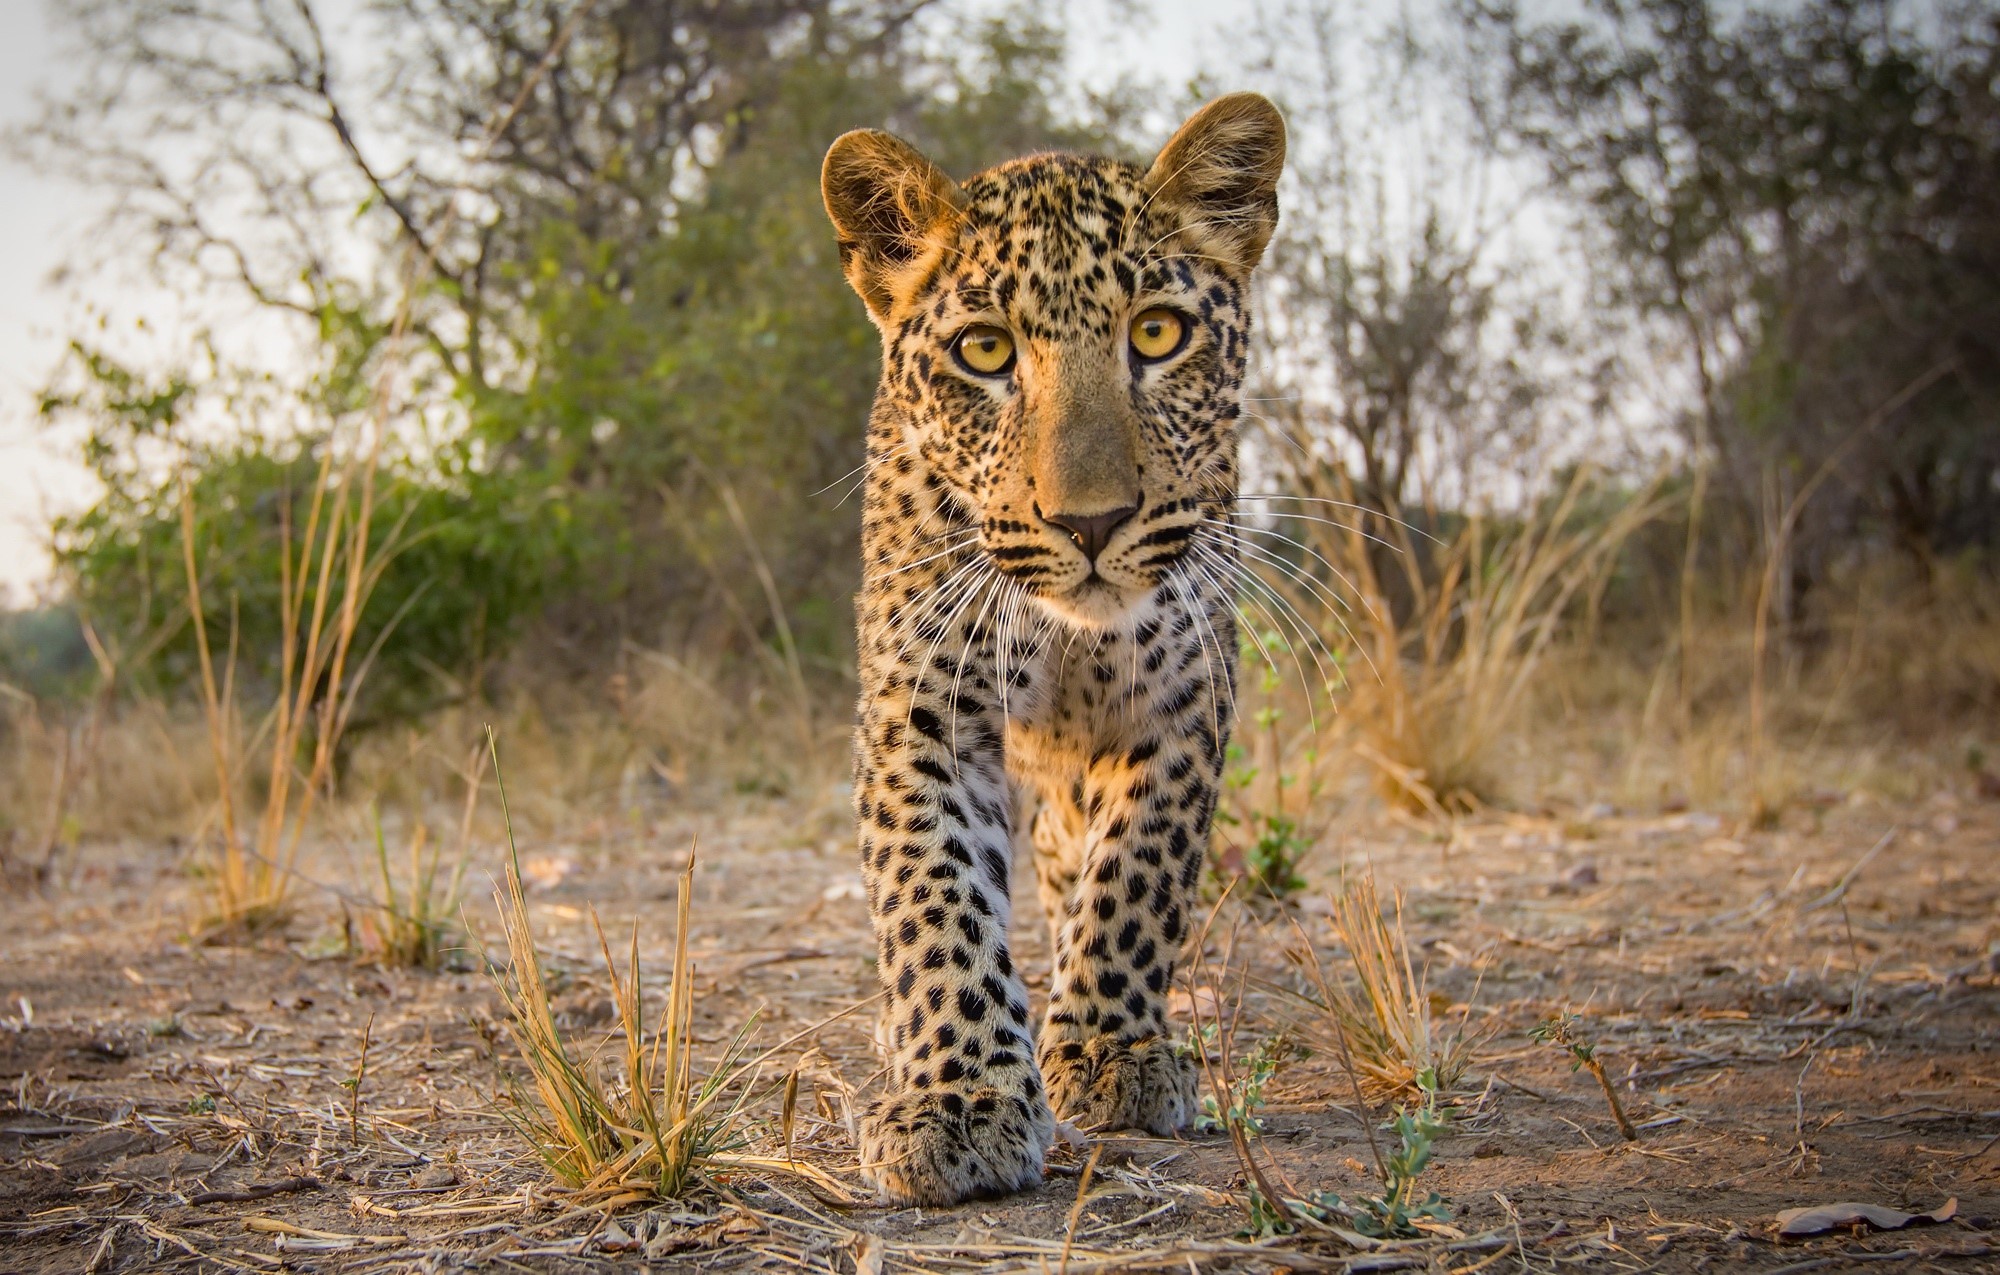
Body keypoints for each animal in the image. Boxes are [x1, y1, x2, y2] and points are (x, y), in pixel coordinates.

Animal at [819, 93, 1286, 1206]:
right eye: (985, 352)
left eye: (1156, 333)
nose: (1091, 521)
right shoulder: (922, 710)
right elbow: (935, 898)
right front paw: (956, 1099)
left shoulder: (1184, 699)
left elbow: (1138, 875)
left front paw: (1109, 1048)